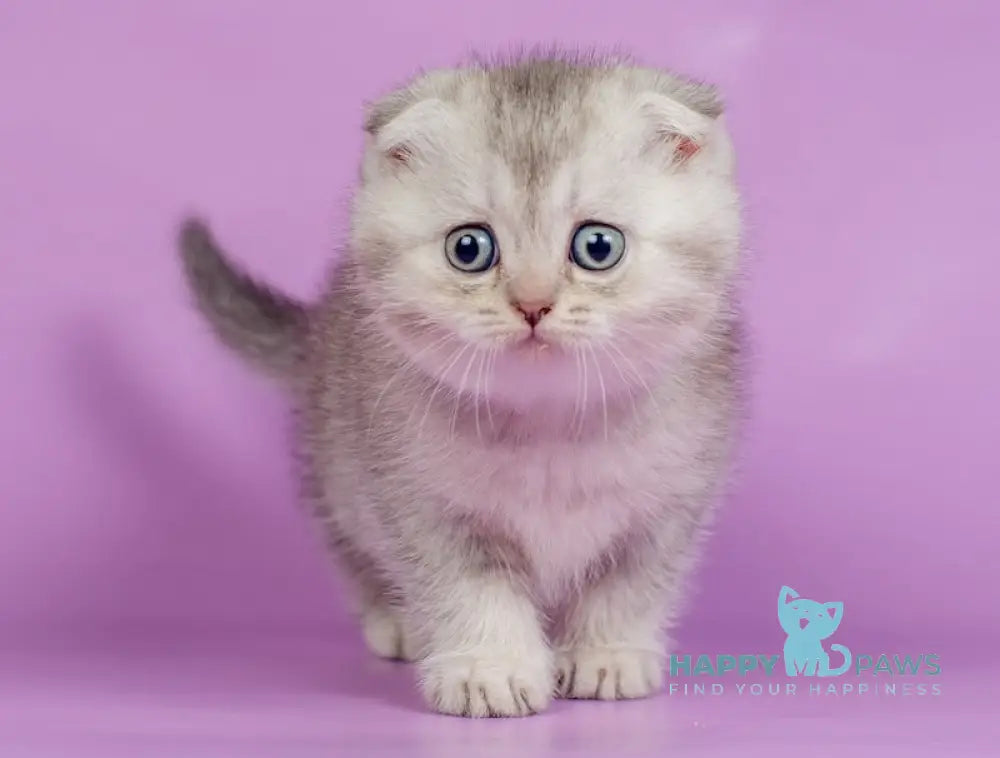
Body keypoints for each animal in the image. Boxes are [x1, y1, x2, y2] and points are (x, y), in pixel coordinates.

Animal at [180, 53, 744, 720]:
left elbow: (631, 585)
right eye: (470, 248)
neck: (550, 427)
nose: (533, 304)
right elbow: (466, 589)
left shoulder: (673, 501)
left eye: (597, 245)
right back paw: (397, 621)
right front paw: (489, 669)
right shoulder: (417, 498)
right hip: (335, 465)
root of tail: (319, 330)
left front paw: (607, 655)